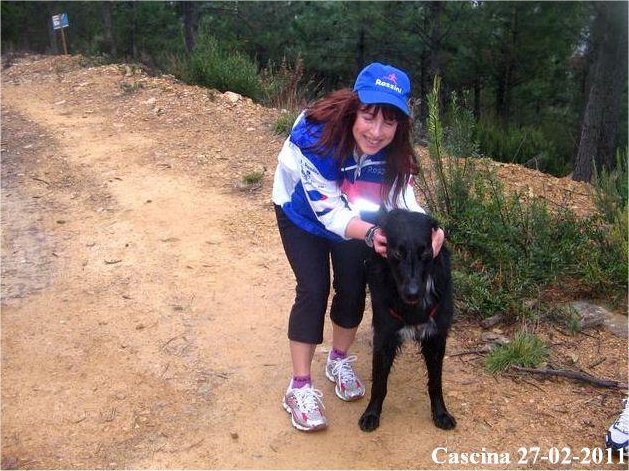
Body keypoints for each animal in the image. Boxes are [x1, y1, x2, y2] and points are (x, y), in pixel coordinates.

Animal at [359, 209, 456, 432]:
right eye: (397, 253)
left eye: (425, 253)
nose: (412, 293)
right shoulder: (384, 337)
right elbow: (379, 383)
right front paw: (371, 413)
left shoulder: (436, 337)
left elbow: (435, 382)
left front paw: (441, 413)